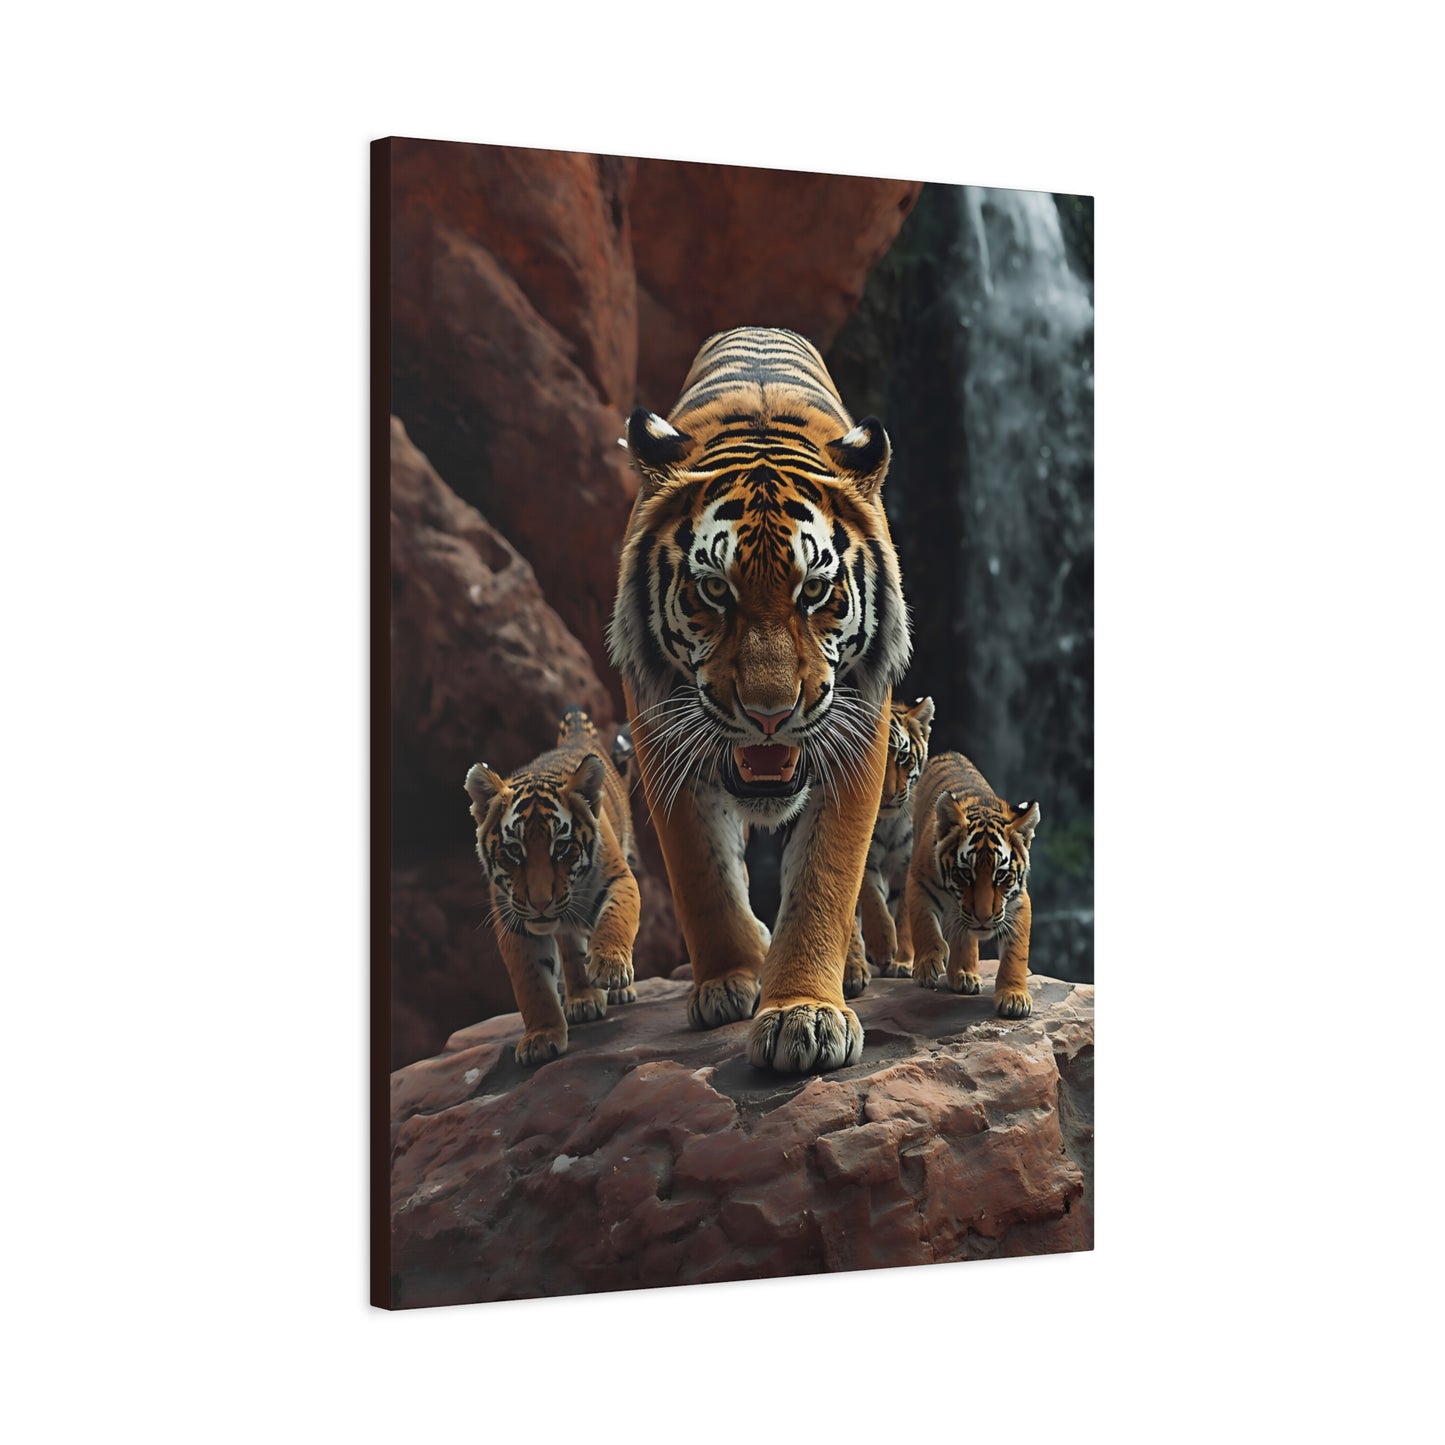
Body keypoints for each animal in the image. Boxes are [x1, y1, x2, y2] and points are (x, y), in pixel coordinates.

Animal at [464, 706, 641, 1065]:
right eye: (513, 851)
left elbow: (616, 919)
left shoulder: (619, 879)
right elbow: (531, 983)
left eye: (561, 847)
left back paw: (618, 990)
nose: (541, 903)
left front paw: (612, 968)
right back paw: (583, 998)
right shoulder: (513, 920)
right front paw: (541, 1037)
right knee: (570, 945)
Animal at [607, 326, 910, 1073]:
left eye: (814, 591)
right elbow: (702, 872)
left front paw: (804, 1012)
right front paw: (730, 979)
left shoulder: (860, 729)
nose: (770, 712)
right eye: (715, 590)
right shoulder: (660, 731)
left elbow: (825, 876)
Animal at [844, 695, 934, 995]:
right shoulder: (863, 859)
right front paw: (883, 945)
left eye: (903, 757)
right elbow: (872, 898)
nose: (888, 795)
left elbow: (904, 912)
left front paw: (903, 961)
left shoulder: (906, 864)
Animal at [905, 750, 1041, 1019]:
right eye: (965, 874)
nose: (983, 918)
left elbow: (1016, 952)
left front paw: (1014, 996)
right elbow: (923, 923)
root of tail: (949, 753)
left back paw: (965, 975)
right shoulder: (918, 881)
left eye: (1001, 875)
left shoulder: (1019, 901)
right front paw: (927, 965)